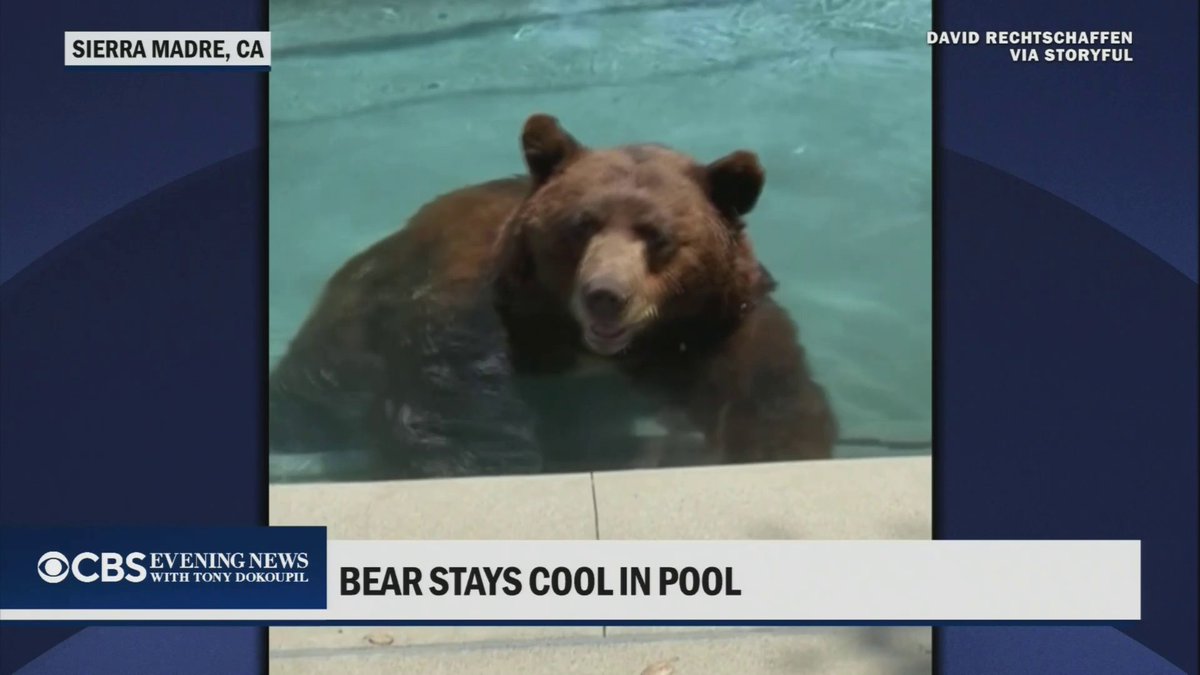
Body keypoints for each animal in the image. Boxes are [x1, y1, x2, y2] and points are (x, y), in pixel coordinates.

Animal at [268, 114, 837, 480]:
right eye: (582, 224)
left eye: (657, 235)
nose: (606, 294)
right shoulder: (480, 325)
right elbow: (457, 418)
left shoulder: (718, 328)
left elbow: (770, 396)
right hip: (349, 327)